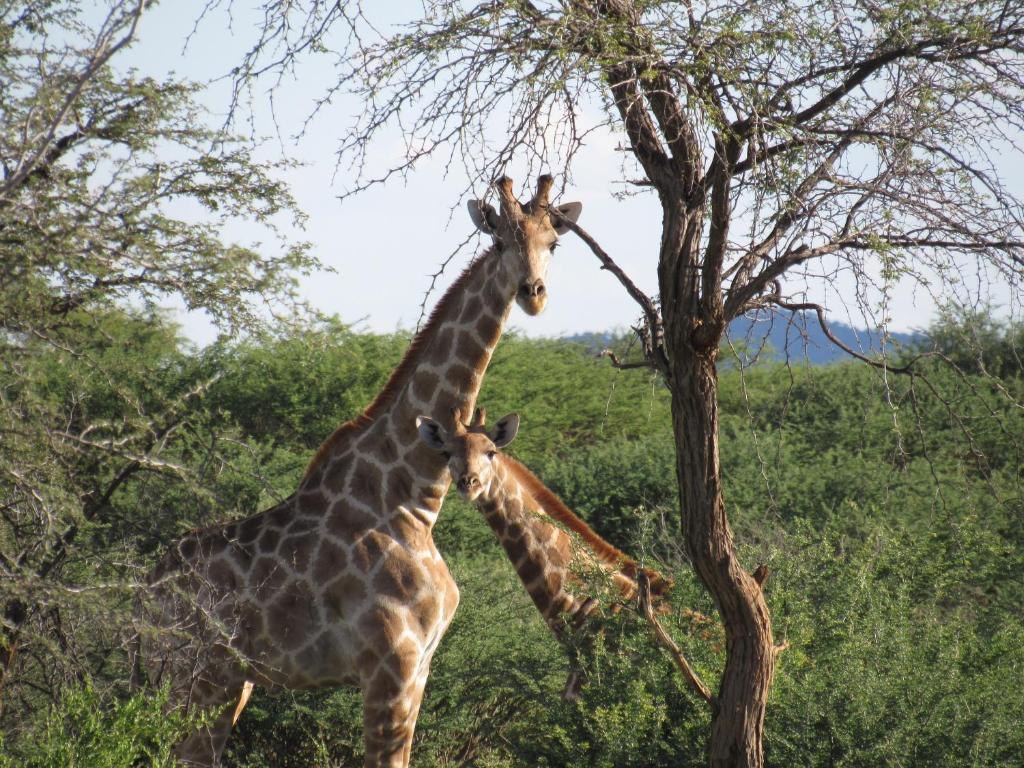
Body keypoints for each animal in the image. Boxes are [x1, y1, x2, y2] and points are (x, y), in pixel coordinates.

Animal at [139, 175, 583, 767]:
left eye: (552, 242)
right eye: (501, 241)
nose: (534, 293)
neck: (412, 498)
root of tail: (144, 586)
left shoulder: (420, 667)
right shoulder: (390, 665)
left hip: (228, 682)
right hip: (188, 675)